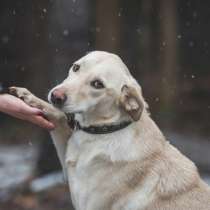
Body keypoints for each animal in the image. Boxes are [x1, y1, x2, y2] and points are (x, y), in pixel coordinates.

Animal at [10, 51, 210, 210]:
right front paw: (29, 97)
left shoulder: (86, 203)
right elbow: (58, 117)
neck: (104, 130)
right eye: (76, 67)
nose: (56, 96)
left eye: (98, 84)